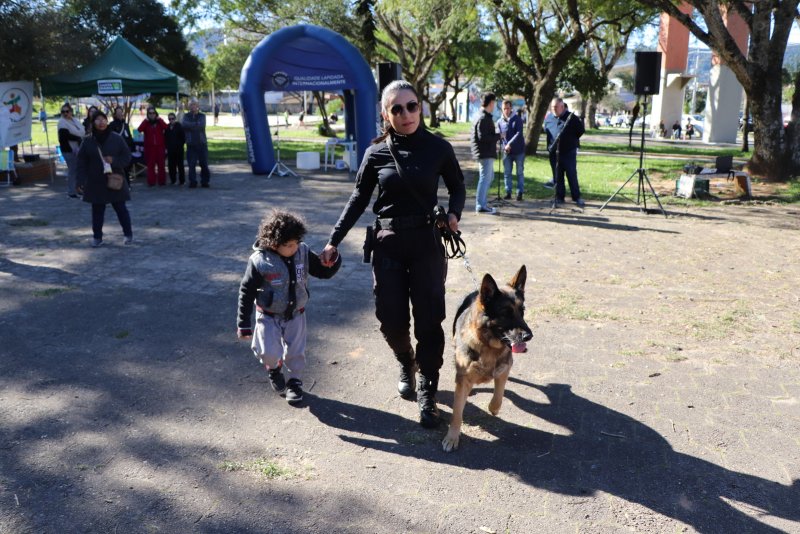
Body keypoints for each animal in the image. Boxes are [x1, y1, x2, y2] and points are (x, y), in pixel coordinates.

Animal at [444, 266, 532, 454]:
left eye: (522, 311)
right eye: (506, 313)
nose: (529, 336)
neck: (488, 345)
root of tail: (478, 290)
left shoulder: (504, 369)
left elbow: (499, 394)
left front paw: (493, 408)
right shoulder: (463, 381)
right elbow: (457, 413)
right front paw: (452, 437)